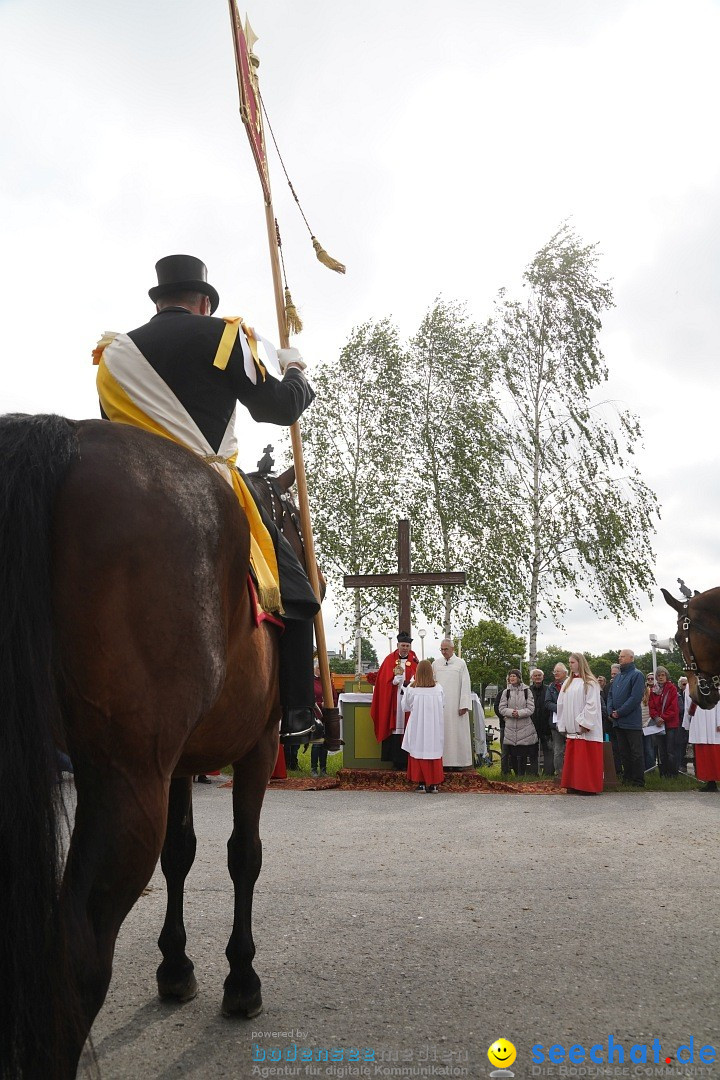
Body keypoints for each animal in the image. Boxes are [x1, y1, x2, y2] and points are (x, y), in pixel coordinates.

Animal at [0, 410, 295, 1071]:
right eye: (290, 520)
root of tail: (65, 435)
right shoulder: (257, 747)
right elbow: (244, 853)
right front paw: (241, 978)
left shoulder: (181, 762)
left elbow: (180, 852)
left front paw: (176, 965)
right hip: (125, 779)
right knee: (77, 954)